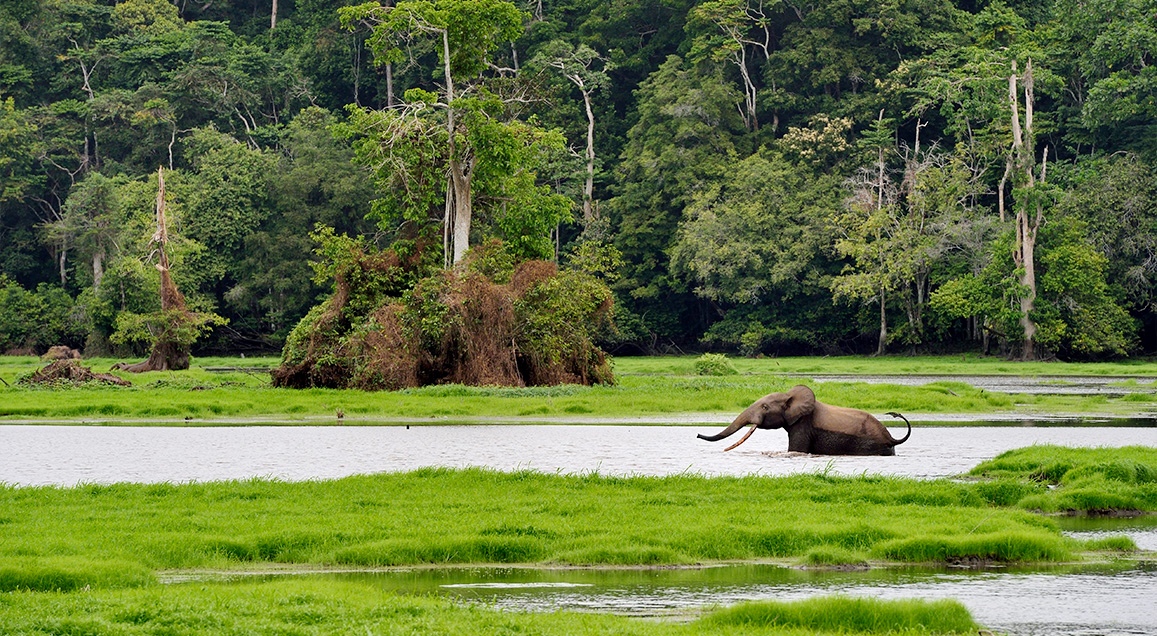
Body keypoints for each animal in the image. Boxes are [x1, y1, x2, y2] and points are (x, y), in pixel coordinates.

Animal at [697, 385, 911, 455]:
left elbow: (796, 449)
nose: (698, 435)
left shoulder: (803, 425)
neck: (790, 396)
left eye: (765, 407)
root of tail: (891, 438)